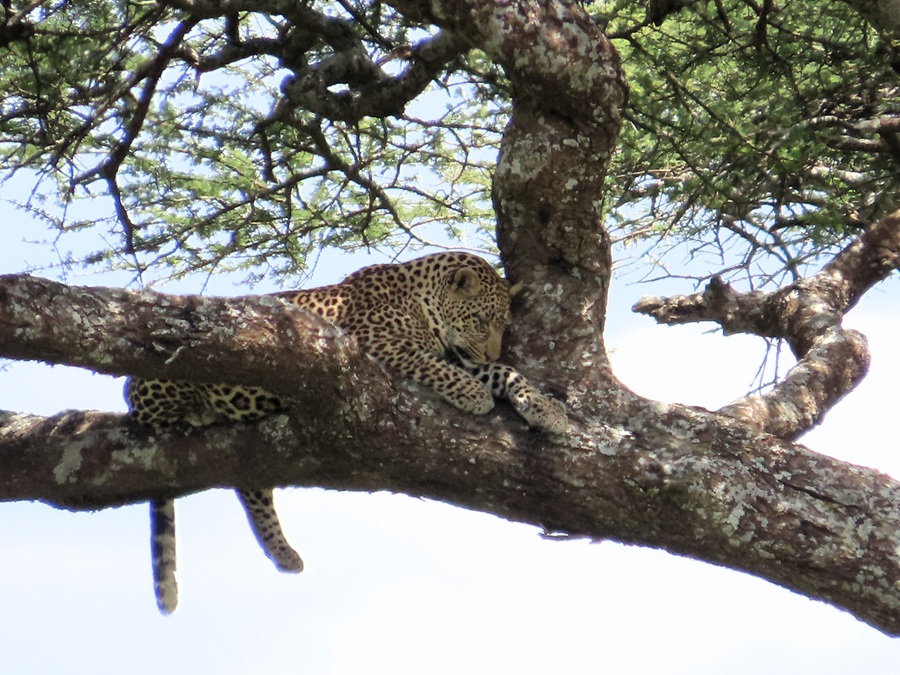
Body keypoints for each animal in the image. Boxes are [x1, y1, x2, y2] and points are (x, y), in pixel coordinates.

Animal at [125, 251, 567, 614]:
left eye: (502, 325)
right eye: (480, 321)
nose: (494, 348)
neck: (422, 300)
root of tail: (131, 392)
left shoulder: (461, 355)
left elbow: (503, 371)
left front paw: (545, 408)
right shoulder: (376, 343)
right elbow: (430, 363)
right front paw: (474, 394)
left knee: (250, 487)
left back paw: (283, 554)